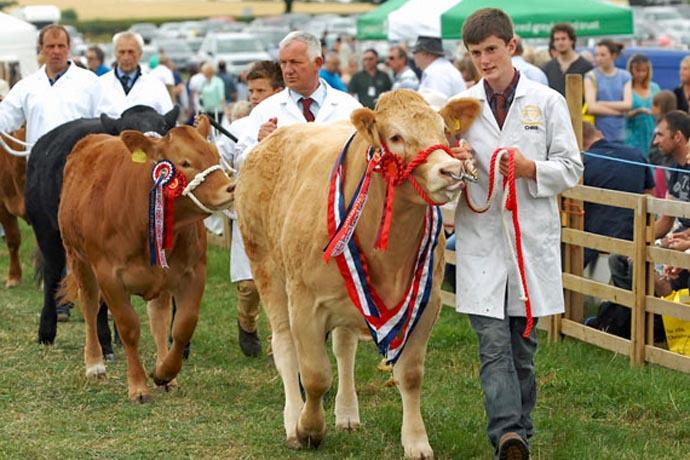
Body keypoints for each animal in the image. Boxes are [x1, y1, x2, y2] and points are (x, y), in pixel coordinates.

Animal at [26, 104, 180, 350]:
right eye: (126, 132)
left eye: (164, 127)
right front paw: (104, 343)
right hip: (47, 230)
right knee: (52, 275)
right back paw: (47, 332)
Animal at [58, 117, 234, 400]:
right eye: (185, 162)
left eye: (215, 155)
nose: (230, 188)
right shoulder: (109, 276)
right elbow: (129, 328)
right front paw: (138, 386)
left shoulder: (194, 271)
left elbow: (183, 325)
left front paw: (164, 373)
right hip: (78, 258)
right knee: (90, 305)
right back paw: (94, 364)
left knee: (158, 318)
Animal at [235, 90, 478, 460]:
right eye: (395, 137)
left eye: (443, 131)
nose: (451, 170)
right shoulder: (305, 303)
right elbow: (315, 374)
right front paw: (309, 428)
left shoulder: (427, 304)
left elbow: (410, 375)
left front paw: (416, 441)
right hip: (267, 269)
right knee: (285, 345)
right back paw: (292, 419)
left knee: (344, 348)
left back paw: (347, 413)